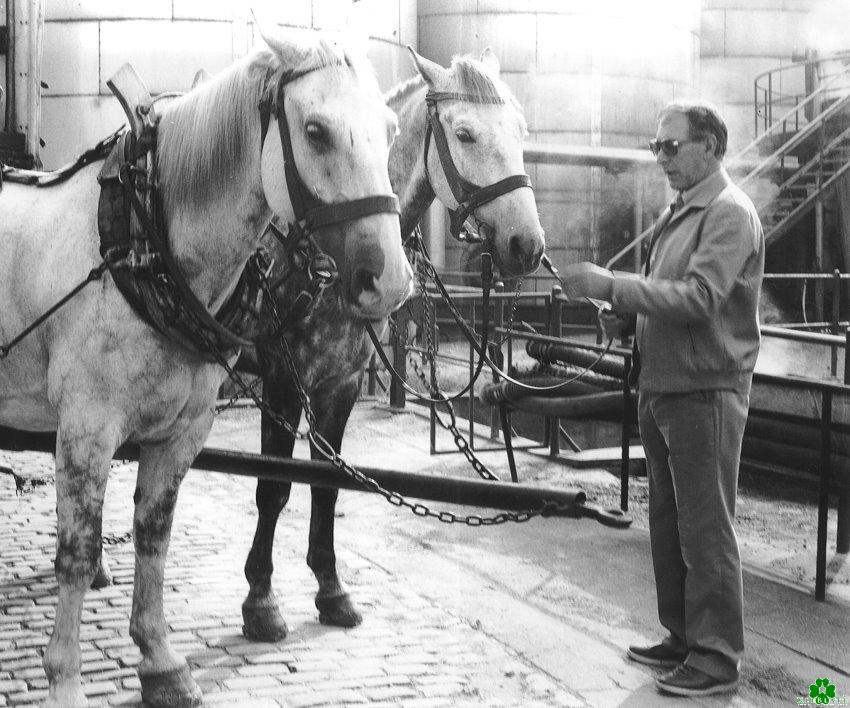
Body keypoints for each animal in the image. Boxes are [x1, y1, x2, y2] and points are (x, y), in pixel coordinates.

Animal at [0, 29, 410, 708]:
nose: (391, 281)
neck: (141, 244)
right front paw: (64, 679)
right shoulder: (86, 430)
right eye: (316, 130)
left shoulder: (183, 431)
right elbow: (76, 554)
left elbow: (154, 535)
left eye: (391, 128)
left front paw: (160, 661)